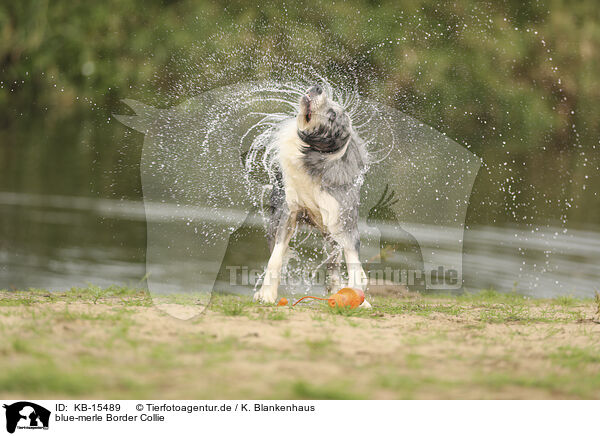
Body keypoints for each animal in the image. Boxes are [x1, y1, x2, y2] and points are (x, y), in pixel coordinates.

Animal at [253, 84, 370, 306]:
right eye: (332, 104)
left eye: (332, 115)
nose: (317, 87)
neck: (314, 157)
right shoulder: (288, 212)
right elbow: (276, 256)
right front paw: (267, 294)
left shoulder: (343, 218)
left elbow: (353, 260)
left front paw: (358, 296)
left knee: (334, 263)